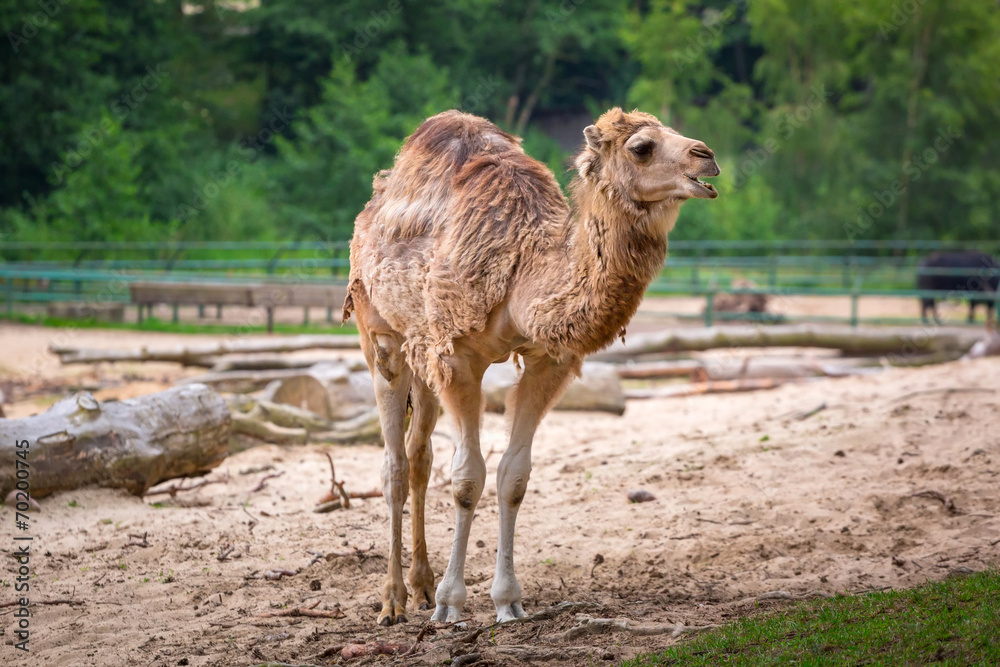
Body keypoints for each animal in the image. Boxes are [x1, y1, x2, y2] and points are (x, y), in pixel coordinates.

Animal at [344, 108, 720, 628]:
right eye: (642, 147)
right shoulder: (458, 355)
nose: (706, 157)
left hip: (422, 350)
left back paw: (419, 587)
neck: (522, 269)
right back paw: (393, 601)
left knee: (420, 457)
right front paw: (450, 603)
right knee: (394, 466)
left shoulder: (547, 359)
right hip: (380, 335)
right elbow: (468, 479)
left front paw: (508, 601)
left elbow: (514, 477)